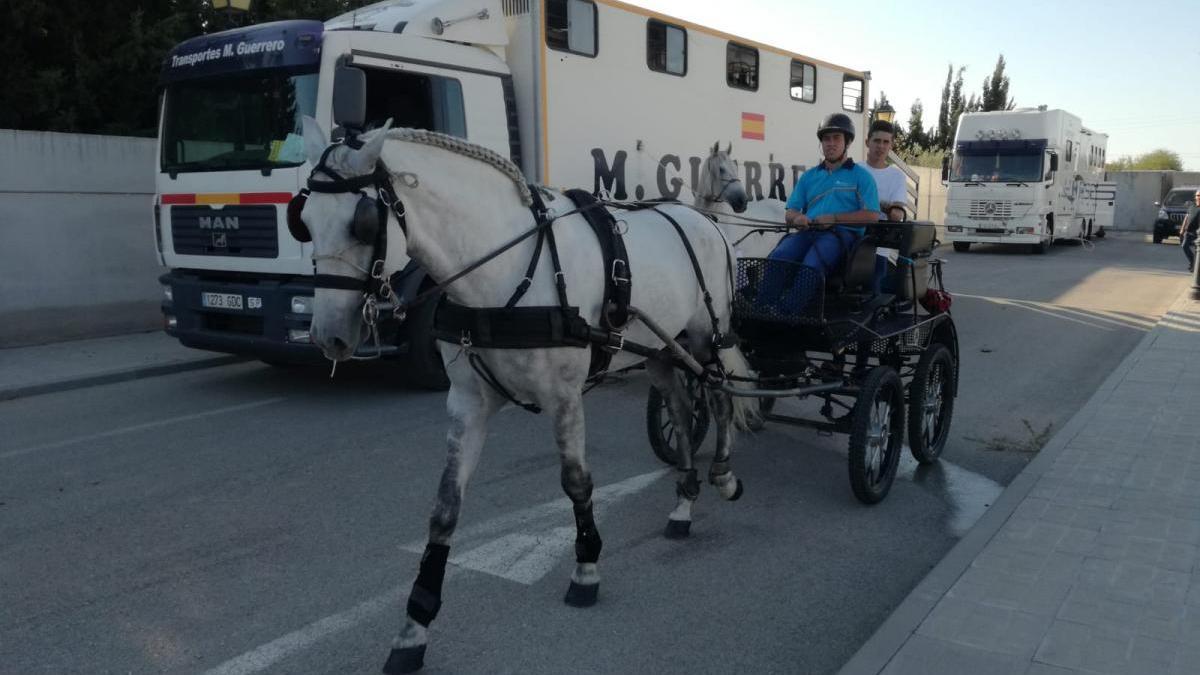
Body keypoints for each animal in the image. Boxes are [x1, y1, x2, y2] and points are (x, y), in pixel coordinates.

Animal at [294, 118, 753, 667]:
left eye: (362, 224)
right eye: (304, 221)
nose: (328, 337)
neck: (506, 270)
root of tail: (705, 220)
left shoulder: (565, 398)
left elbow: (577, 483)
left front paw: (585, 569)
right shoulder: (467, 405)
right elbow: (444, 508)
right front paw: (414, 624)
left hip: (706, 337)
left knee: (719, 397)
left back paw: (724, 475)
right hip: (662, 351)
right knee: (682, 412)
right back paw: (683, 504)